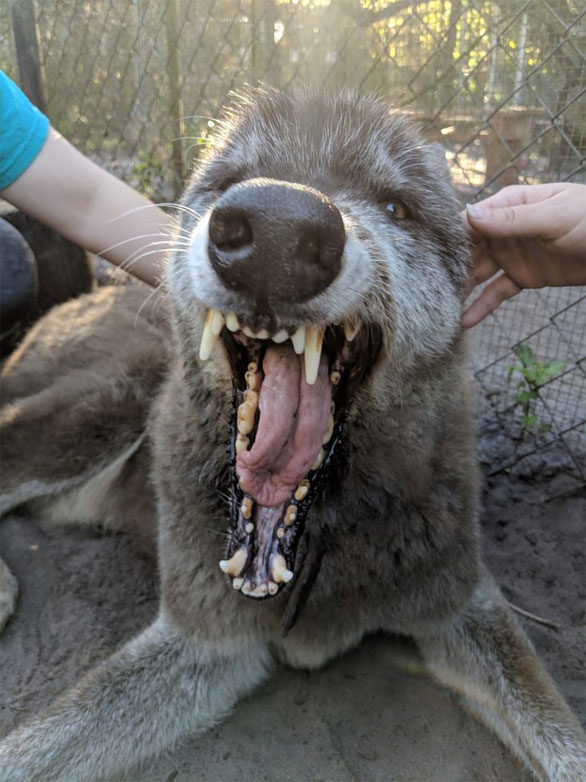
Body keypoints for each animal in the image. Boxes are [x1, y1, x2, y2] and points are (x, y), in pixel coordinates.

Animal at [1, 89, 584, 780]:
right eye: (230, 181)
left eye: (396, 206)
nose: (276, 227)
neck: (314, 537)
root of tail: (80, 299)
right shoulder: (205, 641)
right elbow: (34, 746)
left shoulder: (464, 603)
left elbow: (562, 739)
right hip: (106, 405)